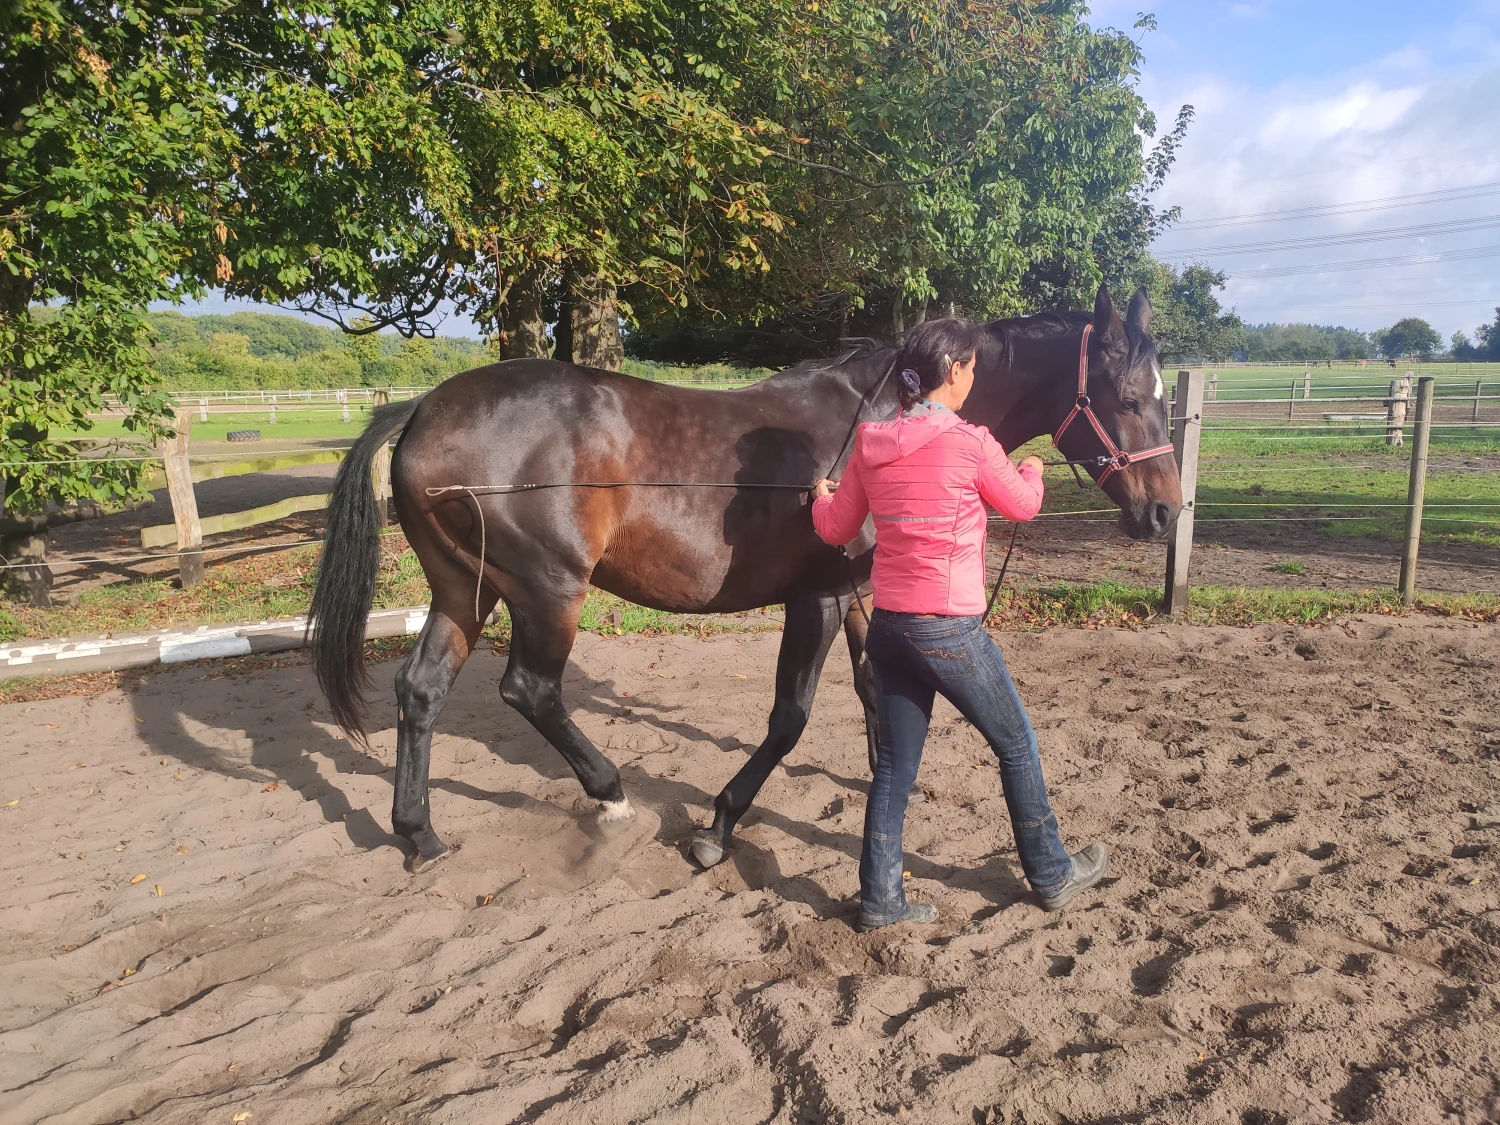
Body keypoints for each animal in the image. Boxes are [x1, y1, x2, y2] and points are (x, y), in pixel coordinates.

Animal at [310, 282, 1176, 870]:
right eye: (1129, 394)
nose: (1165, 510)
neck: (883, 418)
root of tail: (422, 410)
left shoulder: (859, 592)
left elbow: (874, 689)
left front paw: (884, 781)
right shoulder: (816, 597)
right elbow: (790, 716)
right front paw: (718, 826)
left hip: (468, 589)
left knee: (421, 690)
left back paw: (420, 833)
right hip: (547, 591)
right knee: (530, 689)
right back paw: (611, 793)